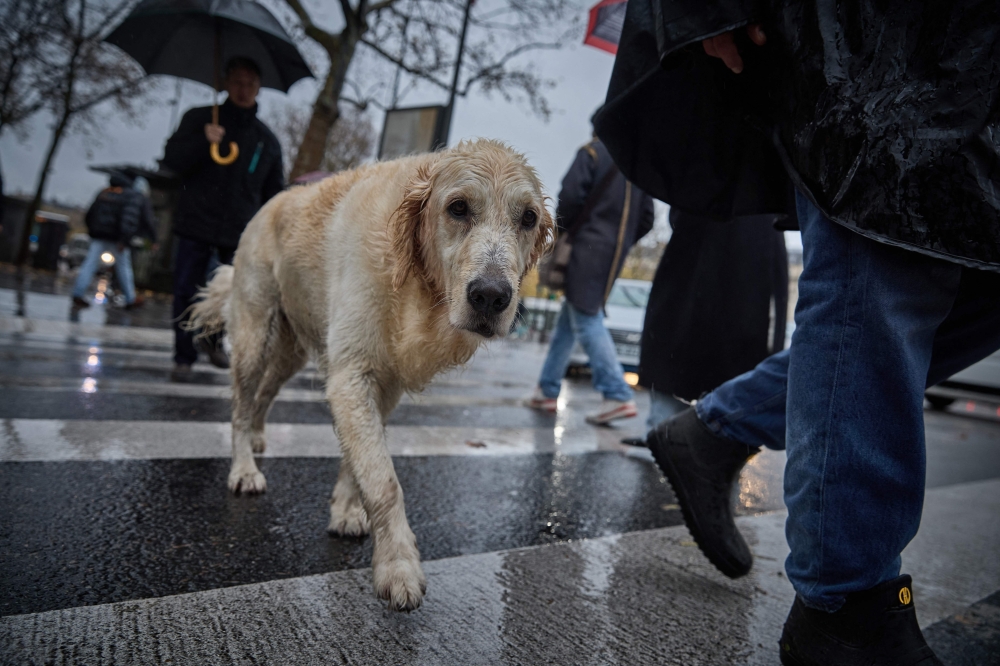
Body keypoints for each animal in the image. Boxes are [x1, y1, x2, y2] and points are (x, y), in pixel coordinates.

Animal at [188, 139, 556, 608]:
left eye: (528, 218)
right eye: (457, 208)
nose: (491, 297)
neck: (414, 280)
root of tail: (273, 201)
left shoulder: (383, 381)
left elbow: (360, 458)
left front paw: (346, 509)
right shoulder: (352, 374)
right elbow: (383, 480)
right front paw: (398, 565)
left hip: (292, 351)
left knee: (265, 393)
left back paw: (256, 437)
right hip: (253, 333)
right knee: (240, 403)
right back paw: (243, 468)